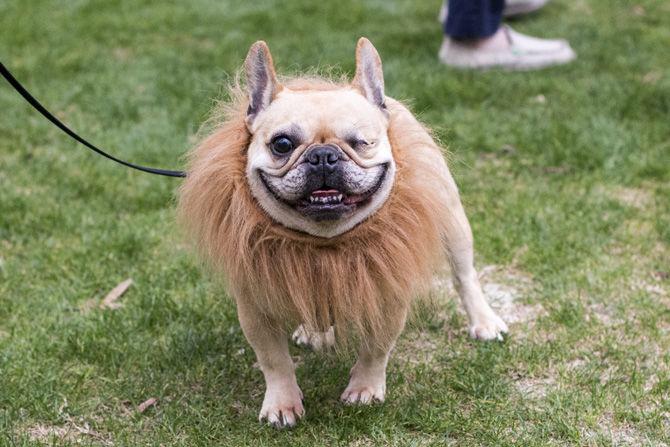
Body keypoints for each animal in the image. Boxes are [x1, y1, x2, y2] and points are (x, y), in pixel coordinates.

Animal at [178, 36, 510, 428]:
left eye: (360, 141)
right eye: (282, 144)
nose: (323, 156)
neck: (325, 242)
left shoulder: (387, 294)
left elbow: (376, 348)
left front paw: (365, 388)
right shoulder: (256, 306)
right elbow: (274, 360)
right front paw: (282, 403)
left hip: (454, 225)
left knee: (464, 276)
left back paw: (484, 321)